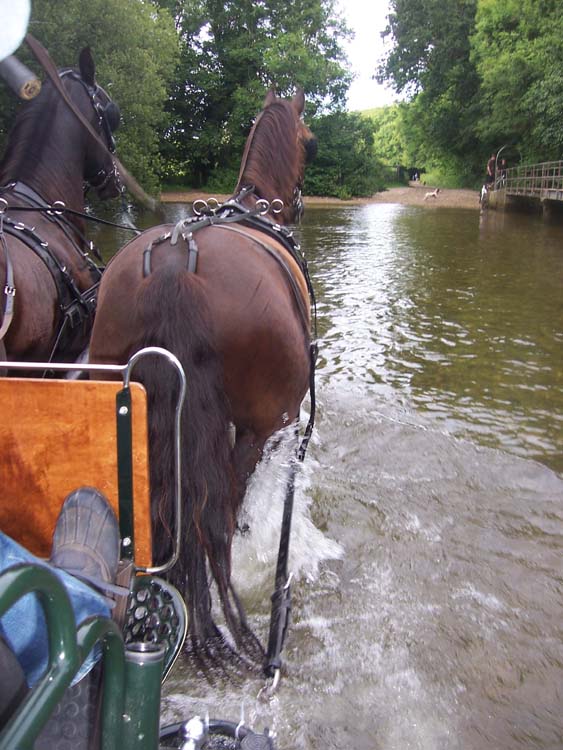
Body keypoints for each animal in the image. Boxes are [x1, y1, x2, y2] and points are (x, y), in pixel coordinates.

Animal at [89, 88, 318, 668]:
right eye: (310, 141)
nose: (299, 205)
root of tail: (176, 267)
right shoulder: (277, 425)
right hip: (260, 427)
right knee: (222, 516)